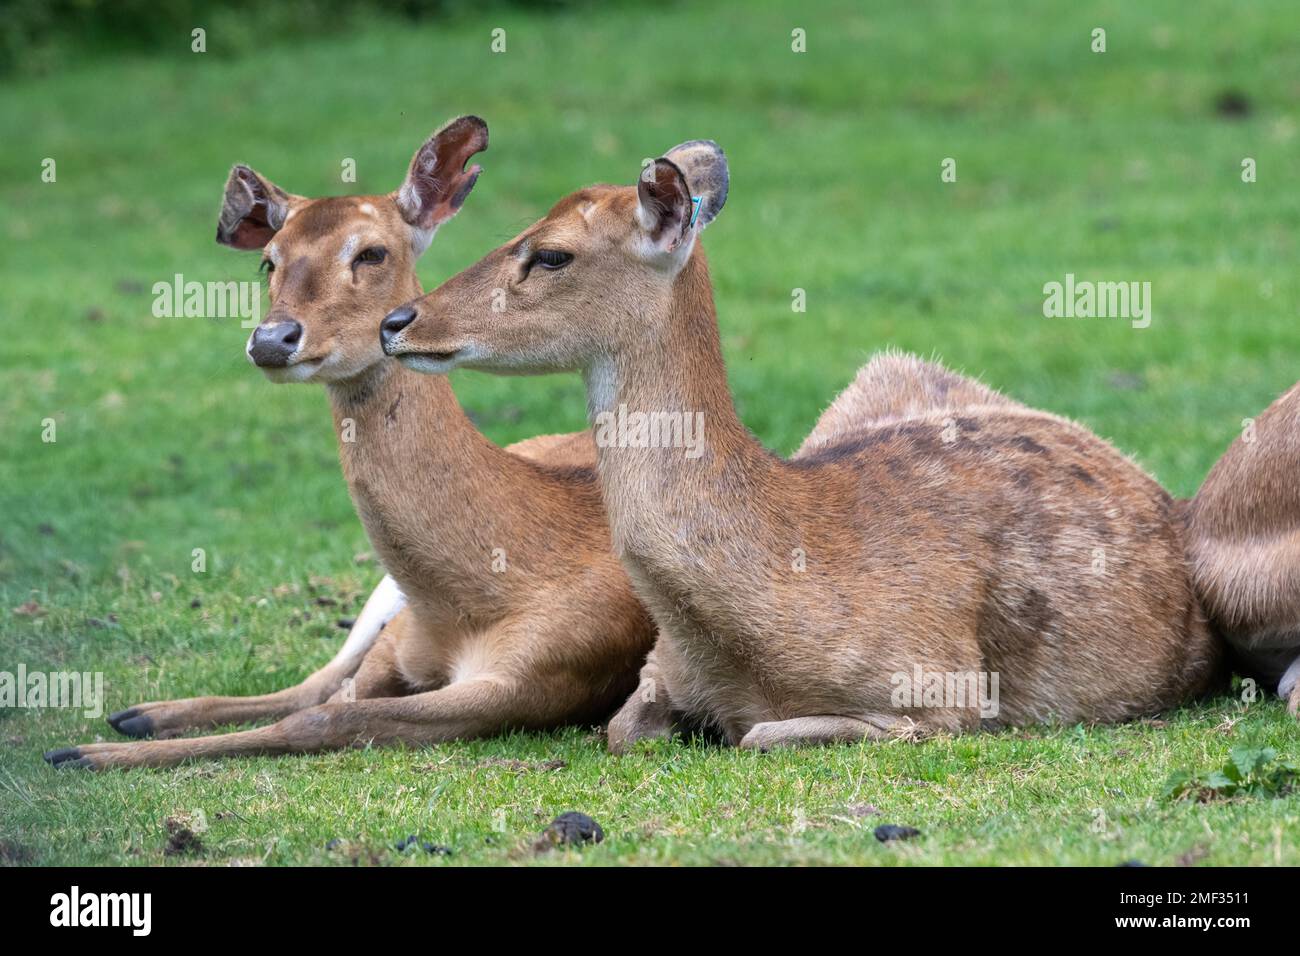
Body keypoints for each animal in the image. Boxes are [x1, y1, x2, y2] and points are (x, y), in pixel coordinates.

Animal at [44, 115, 655, 770]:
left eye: (371, 251)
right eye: (268, 261)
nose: (272, 339)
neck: (474, 603)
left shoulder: (540, 676)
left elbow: (324, 719)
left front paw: (82, 753)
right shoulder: (397, 645)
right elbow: (328, 697)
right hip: (381, 597)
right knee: (316, 676)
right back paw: (141, 712)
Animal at [379, 138, 1227, 749]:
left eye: (551, 252)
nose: (399, 321)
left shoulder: (940, 684)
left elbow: (760, 735)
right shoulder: (657, 669)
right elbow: (622, 730)